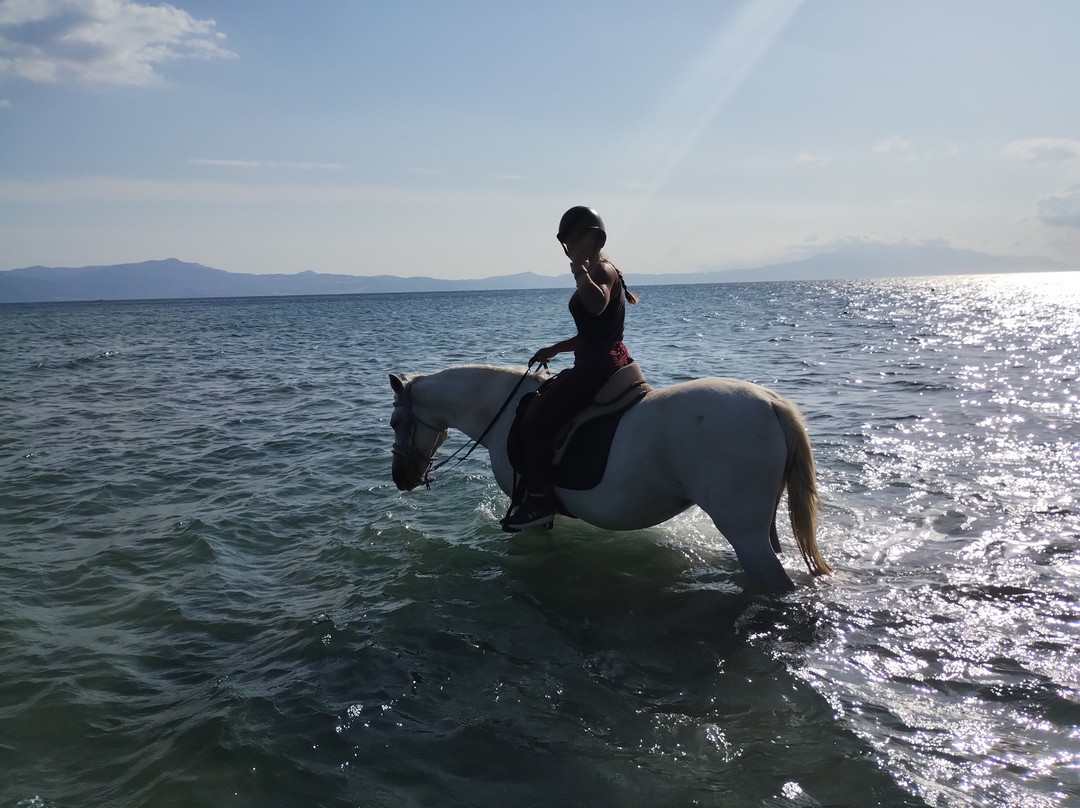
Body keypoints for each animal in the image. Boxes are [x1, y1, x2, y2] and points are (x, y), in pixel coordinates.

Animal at [389, 364, 830, 591]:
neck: (504, 411)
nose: (401, 478)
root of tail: (771, 402)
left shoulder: (531, 513)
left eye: (395, 422)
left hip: (744, 532)